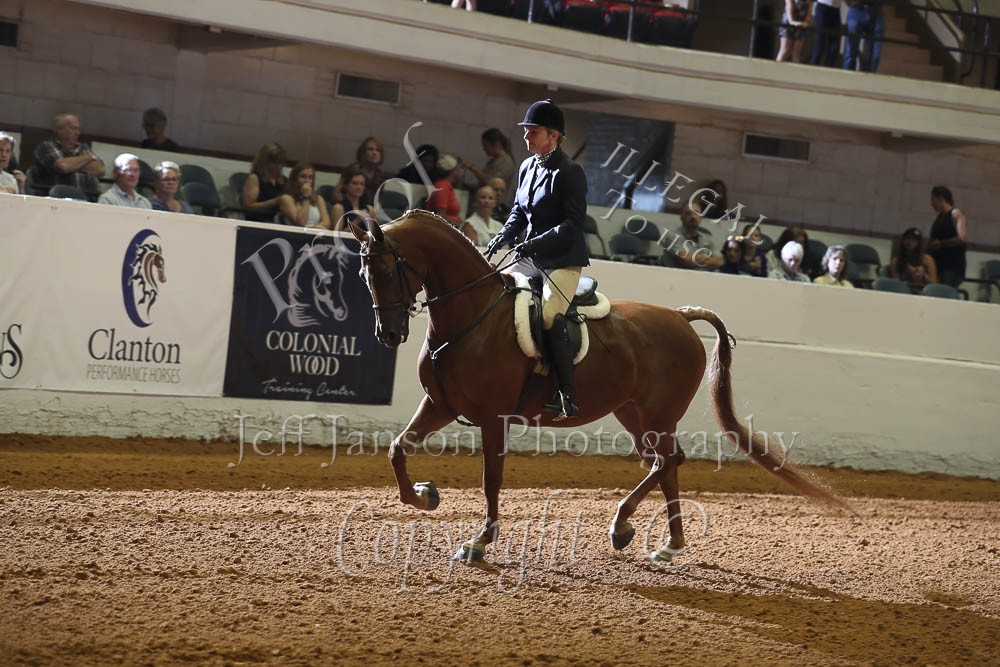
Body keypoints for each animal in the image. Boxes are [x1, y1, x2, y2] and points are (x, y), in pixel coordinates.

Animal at [349, 210, 845, 563]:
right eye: (363, 276)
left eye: (388, 271)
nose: (388, 335)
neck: (472, 317)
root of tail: (680, 317)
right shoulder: (441, 404)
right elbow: (396, 449)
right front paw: (425, 496)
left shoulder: (492, 416)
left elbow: (492, 478)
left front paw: (479, 543)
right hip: (633, 413)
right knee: (665, 463)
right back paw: (666, 543)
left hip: (657, 414)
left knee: (669, 460)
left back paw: (628, 526)